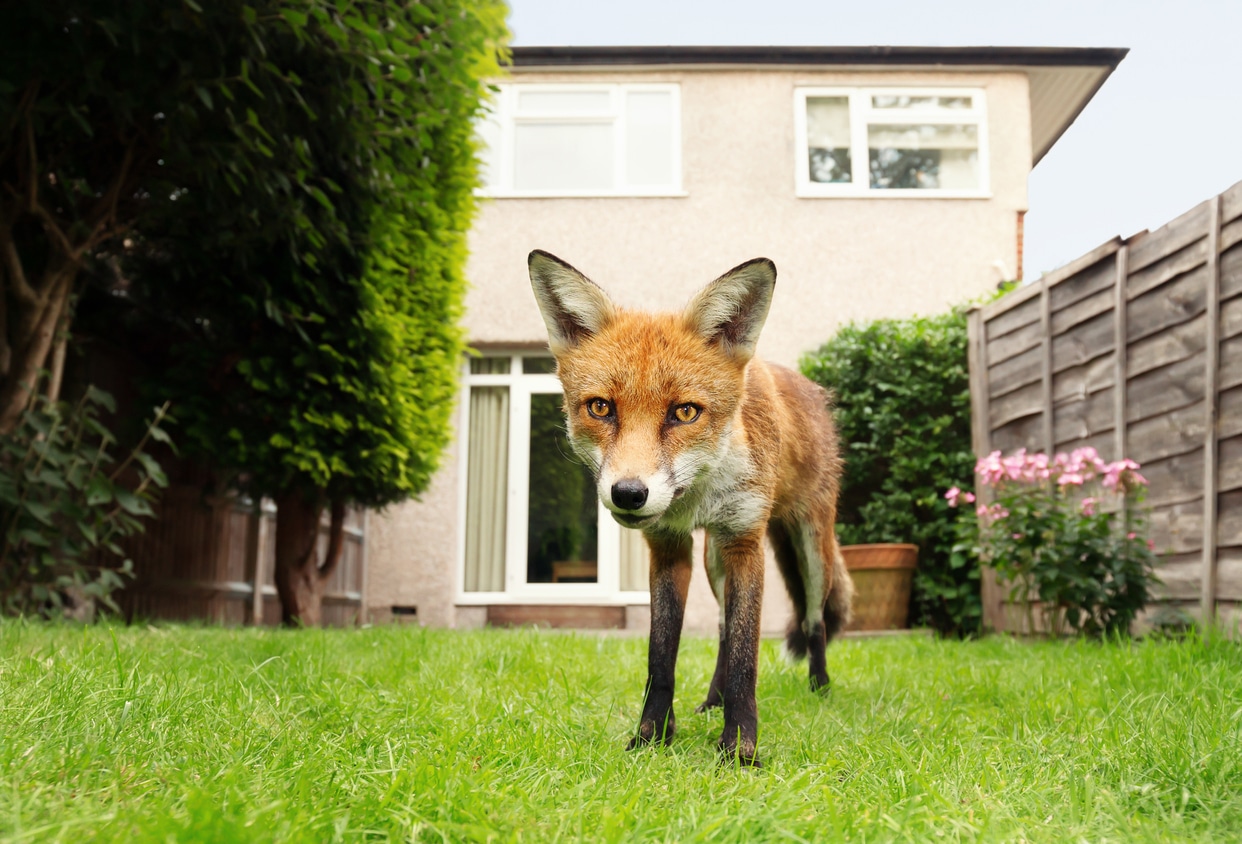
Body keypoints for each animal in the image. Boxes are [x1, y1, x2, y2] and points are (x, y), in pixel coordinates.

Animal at [528, 250, 853, 766]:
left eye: (684, 412)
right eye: (600, 408)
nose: (628, 493)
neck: (699, 495)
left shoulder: (746, 545)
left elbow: (746, 659)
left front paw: (739, 749)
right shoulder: (668, 549)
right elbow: (662, 659)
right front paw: (651, 737)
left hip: (810, 548)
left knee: (814, 619)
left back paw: (819, 688)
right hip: (714, 562)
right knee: (721, 627)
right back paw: (711, 701)